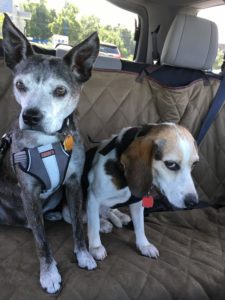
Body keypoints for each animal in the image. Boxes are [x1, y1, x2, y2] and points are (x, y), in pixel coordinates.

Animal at [0, 14, 99, 292]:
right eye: (20, 85)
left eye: (60, 91)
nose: (31, 116)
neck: (48, 142)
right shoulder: (29, 191)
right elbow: (41, 241)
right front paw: (49, 273)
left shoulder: (74, 184)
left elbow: (78, 228)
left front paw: (83, 255)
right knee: (33, 226)